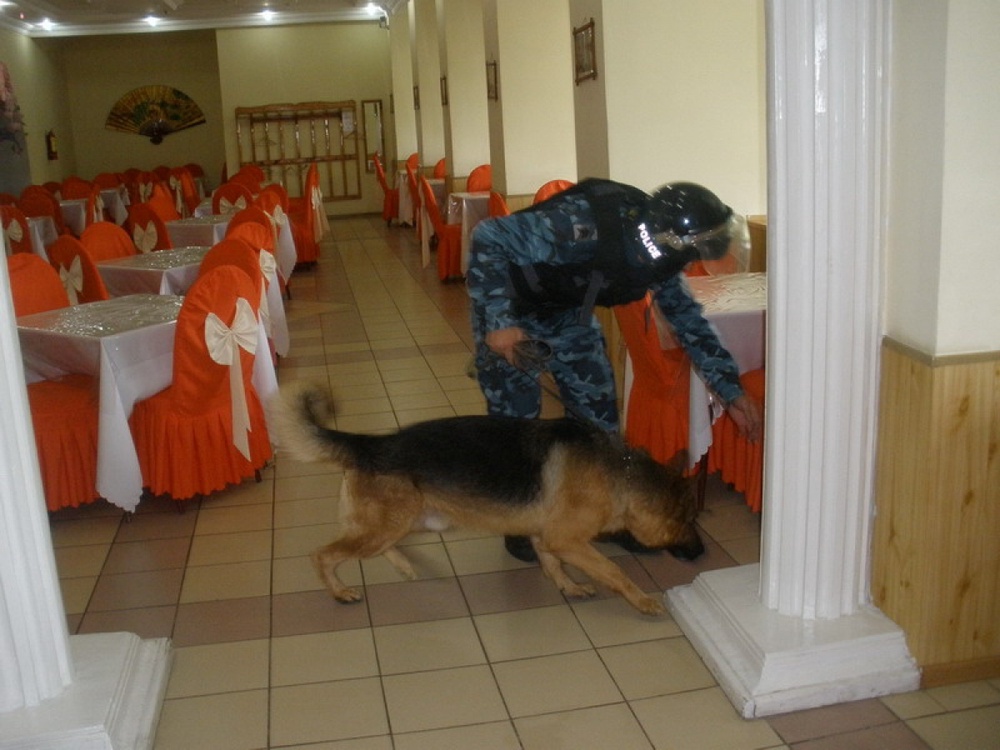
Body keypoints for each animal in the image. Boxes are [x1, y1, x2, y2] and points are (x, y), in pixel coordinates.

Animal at [270, 384, 700, 612]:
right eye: (689, 522)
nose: (701, 552)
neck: (620, 472)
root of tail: (370, 444)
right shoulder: (568, 539)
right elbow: (613, 571)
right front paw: (642, 600)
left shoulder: (547, 536)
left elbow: (551, 564)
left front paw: (568, 586)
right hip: (388, 525)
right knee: (323, 554)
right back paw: (339, 591)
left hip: (409, 523)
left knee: (376, 547)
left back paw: (405, 566)